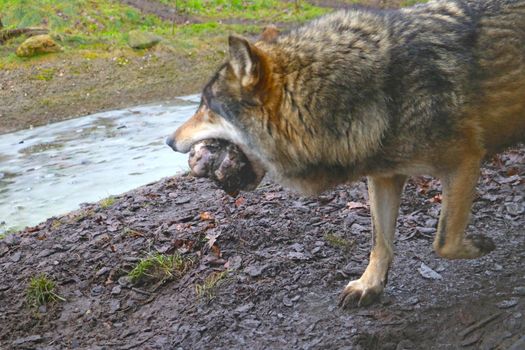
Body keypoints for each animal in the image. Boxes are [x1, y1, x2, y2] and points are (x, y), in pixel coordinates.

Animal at [167, 0, 524, 306]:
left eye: (206, 107)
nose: (169, 141)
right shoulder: (383, 176)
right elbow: (380, 242)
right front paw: (370, 285)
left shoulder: (463, 162)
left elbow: (444, 242)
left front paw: (480, 244)